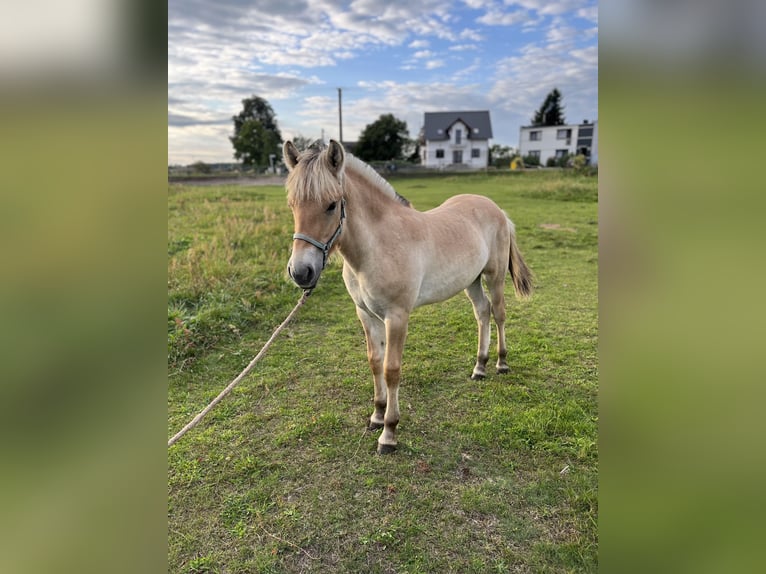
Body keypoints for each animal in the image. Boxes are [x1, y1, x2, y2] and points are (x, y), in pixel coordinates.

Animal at [283, 140, 533, 454]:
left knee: (499, 313)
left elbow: (391, 369)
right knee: (482, 312)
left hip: (494, 277)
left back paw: (501, 363)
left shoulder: (397, 316)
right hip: (471, 281)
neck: (378, 246)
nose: (301, 272)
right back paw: (480, 367)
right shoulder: (366, 314)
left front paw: (389, 433)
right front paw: (377, 415)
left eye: (331, 204)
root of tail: (496, 208)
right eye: (292, 205)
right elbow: (374, 362)